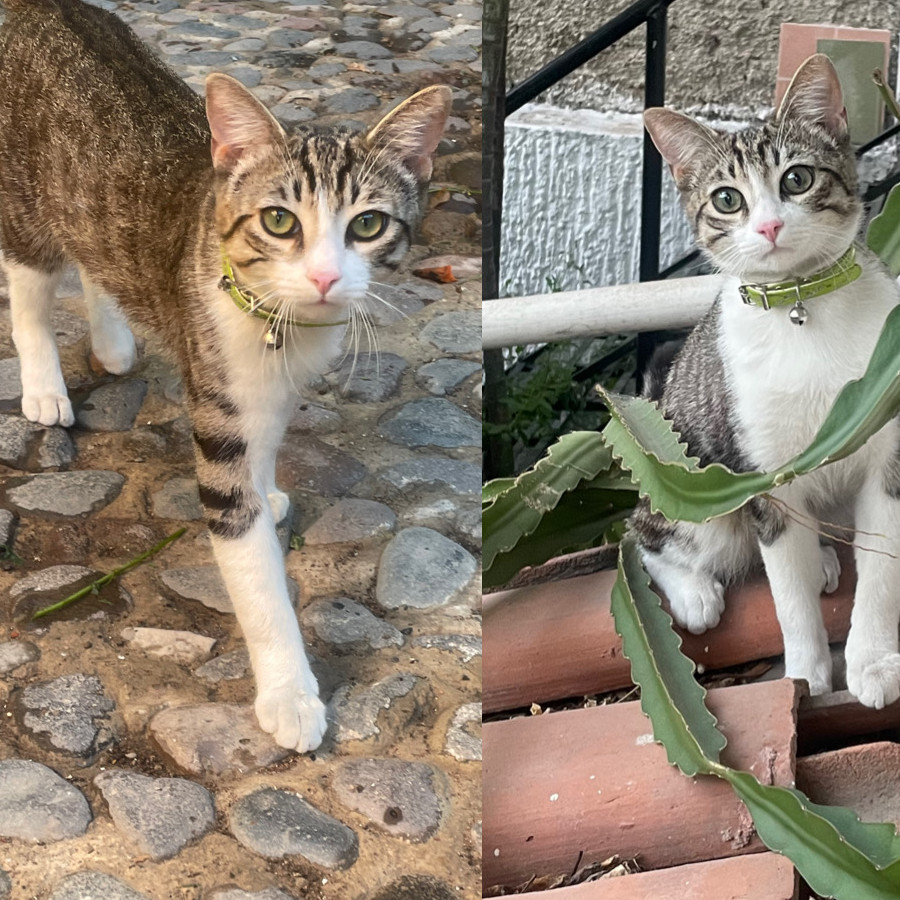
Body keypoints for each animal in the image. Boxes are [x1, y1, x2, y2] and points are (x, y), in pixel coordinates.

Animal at [0, 0, 450, 752]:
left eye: (368, 225)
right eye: (278, 220)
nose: (325, 278)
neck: (276, 326)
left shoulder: (274, 391)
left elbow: (267, 444)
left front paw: (267, 489)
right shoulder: (218, 406)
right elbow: (252, 566)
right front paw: (291, 694)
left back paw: (112, 339)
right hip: (26, 202)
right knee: (30, 285)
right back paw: (43, 388)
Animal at [628, 54, 900, 712]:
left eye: (797, 180)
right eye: (727, 199)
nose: (770, 226)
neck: (804, 305)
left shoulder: (888, 452)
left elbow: (882, 571)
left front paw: (872, 663)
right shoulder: (762, 475)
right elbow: (788, 599)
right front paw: (805, 677)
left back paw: (823, 556)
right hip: (698, 486)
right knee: (643, 534)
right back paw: (695, 591)